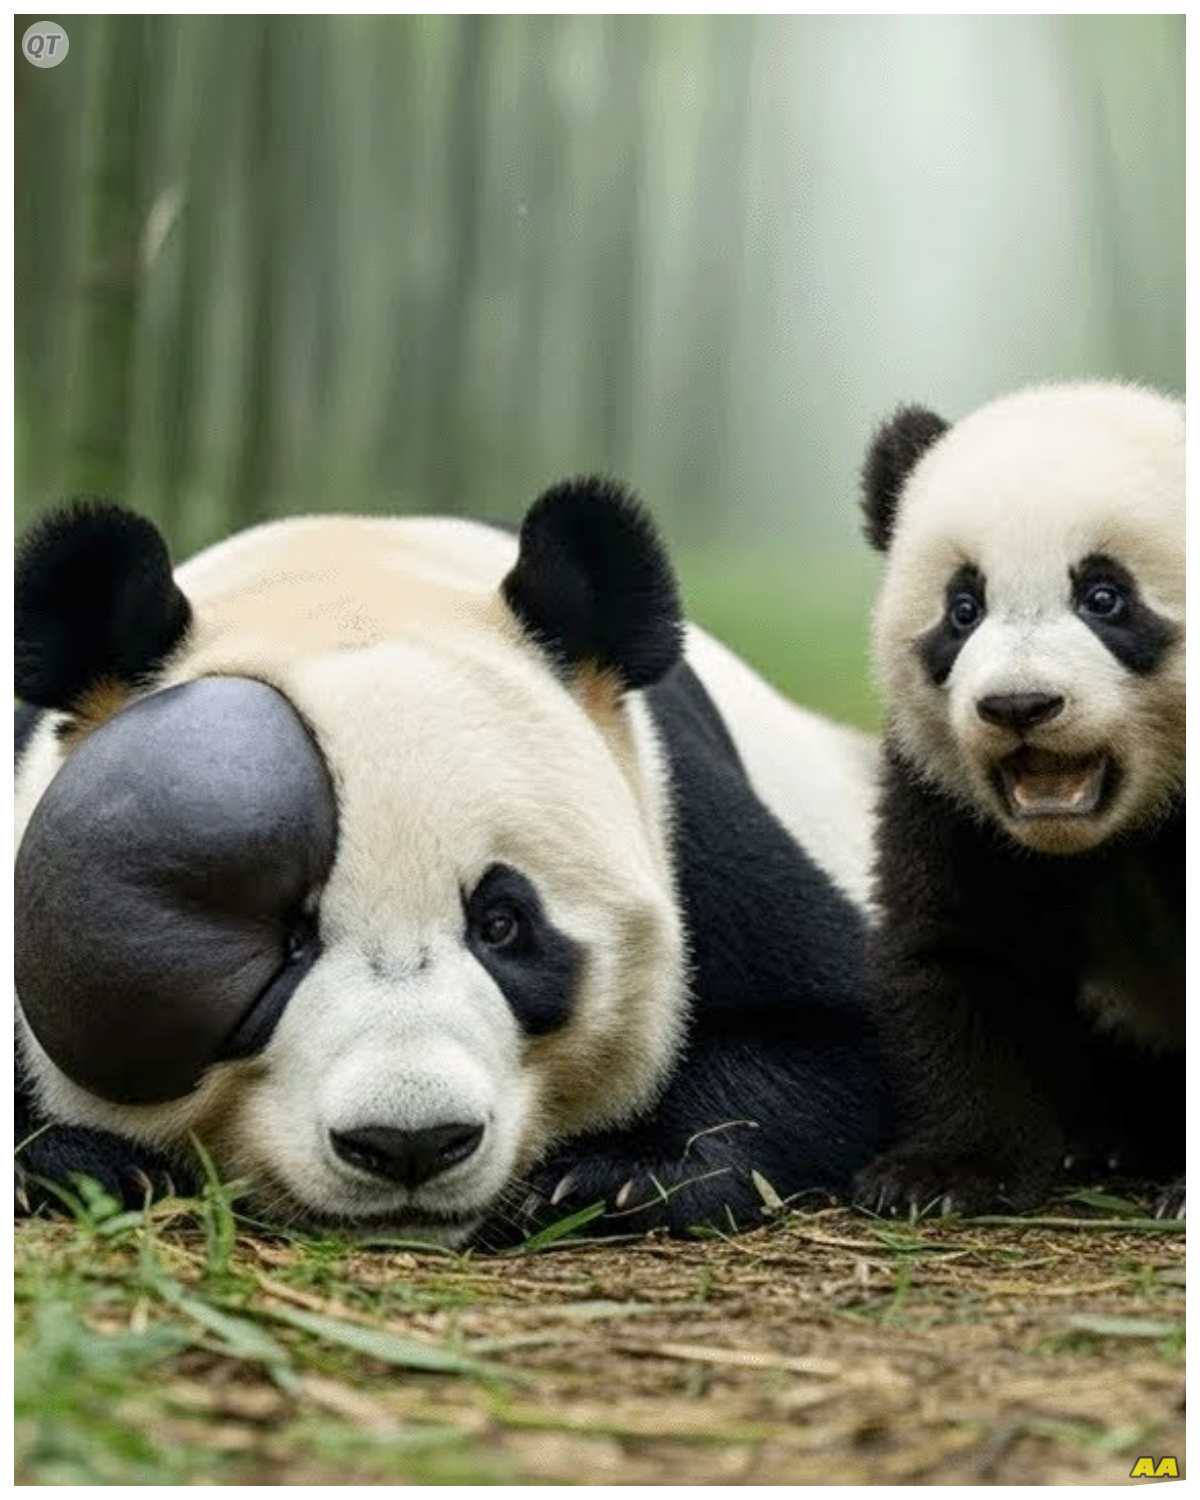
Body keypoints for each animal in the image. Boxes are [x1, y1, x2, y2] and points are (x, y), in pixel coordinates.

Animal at [15, 476, 885, 1246]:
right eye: (285, 940)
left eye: (502, 925)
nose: (411, 1142)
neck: (353, 569)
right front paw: (81, 1166)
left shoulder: (687, 827)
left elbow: (834, 1032)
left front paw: (626, 1177)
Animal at [851, 382, 1185, 1220]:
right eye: (963, 608)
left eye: (1105, 597)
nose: (1020, 706)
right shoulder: (946, 798)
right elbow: (965, 947)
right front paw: (946, 1171)